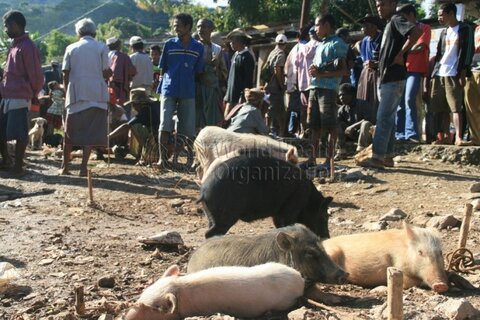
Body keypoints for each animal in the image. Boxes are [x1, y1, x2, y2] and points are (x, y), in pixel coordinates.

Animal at [197, 155, 332, 238]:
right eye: (325, 216)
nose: (327, 236)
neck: (309, 199)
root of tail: (203, 191)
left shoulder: (277, 214)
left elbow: (279, 227)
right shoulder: (291, 209)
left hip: (211, 216)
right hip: (225, 216)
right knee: (209, 234)